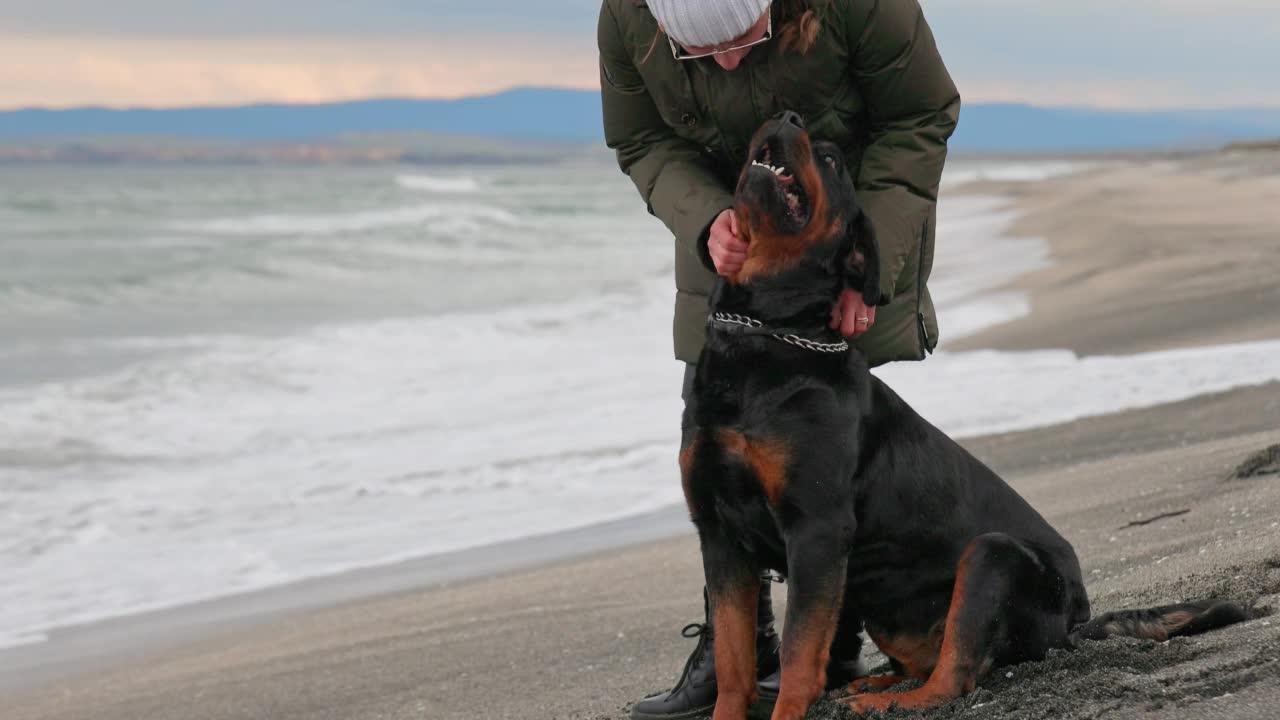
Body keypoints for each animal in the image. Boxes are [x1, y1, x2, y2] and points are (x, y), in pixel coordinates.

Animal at [686, 112, 1244, 717]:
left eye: (831, 160)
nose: (786, 116)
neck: (763, 335)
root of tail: (1077, 623)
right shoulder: (719, 534)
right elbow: (734, 661)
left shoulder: (815, 527)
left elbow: (796, 652)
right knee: (930, 662)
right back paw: (871, 686)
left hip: (991, 556)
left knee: (954, 675)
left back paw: (887, 702)